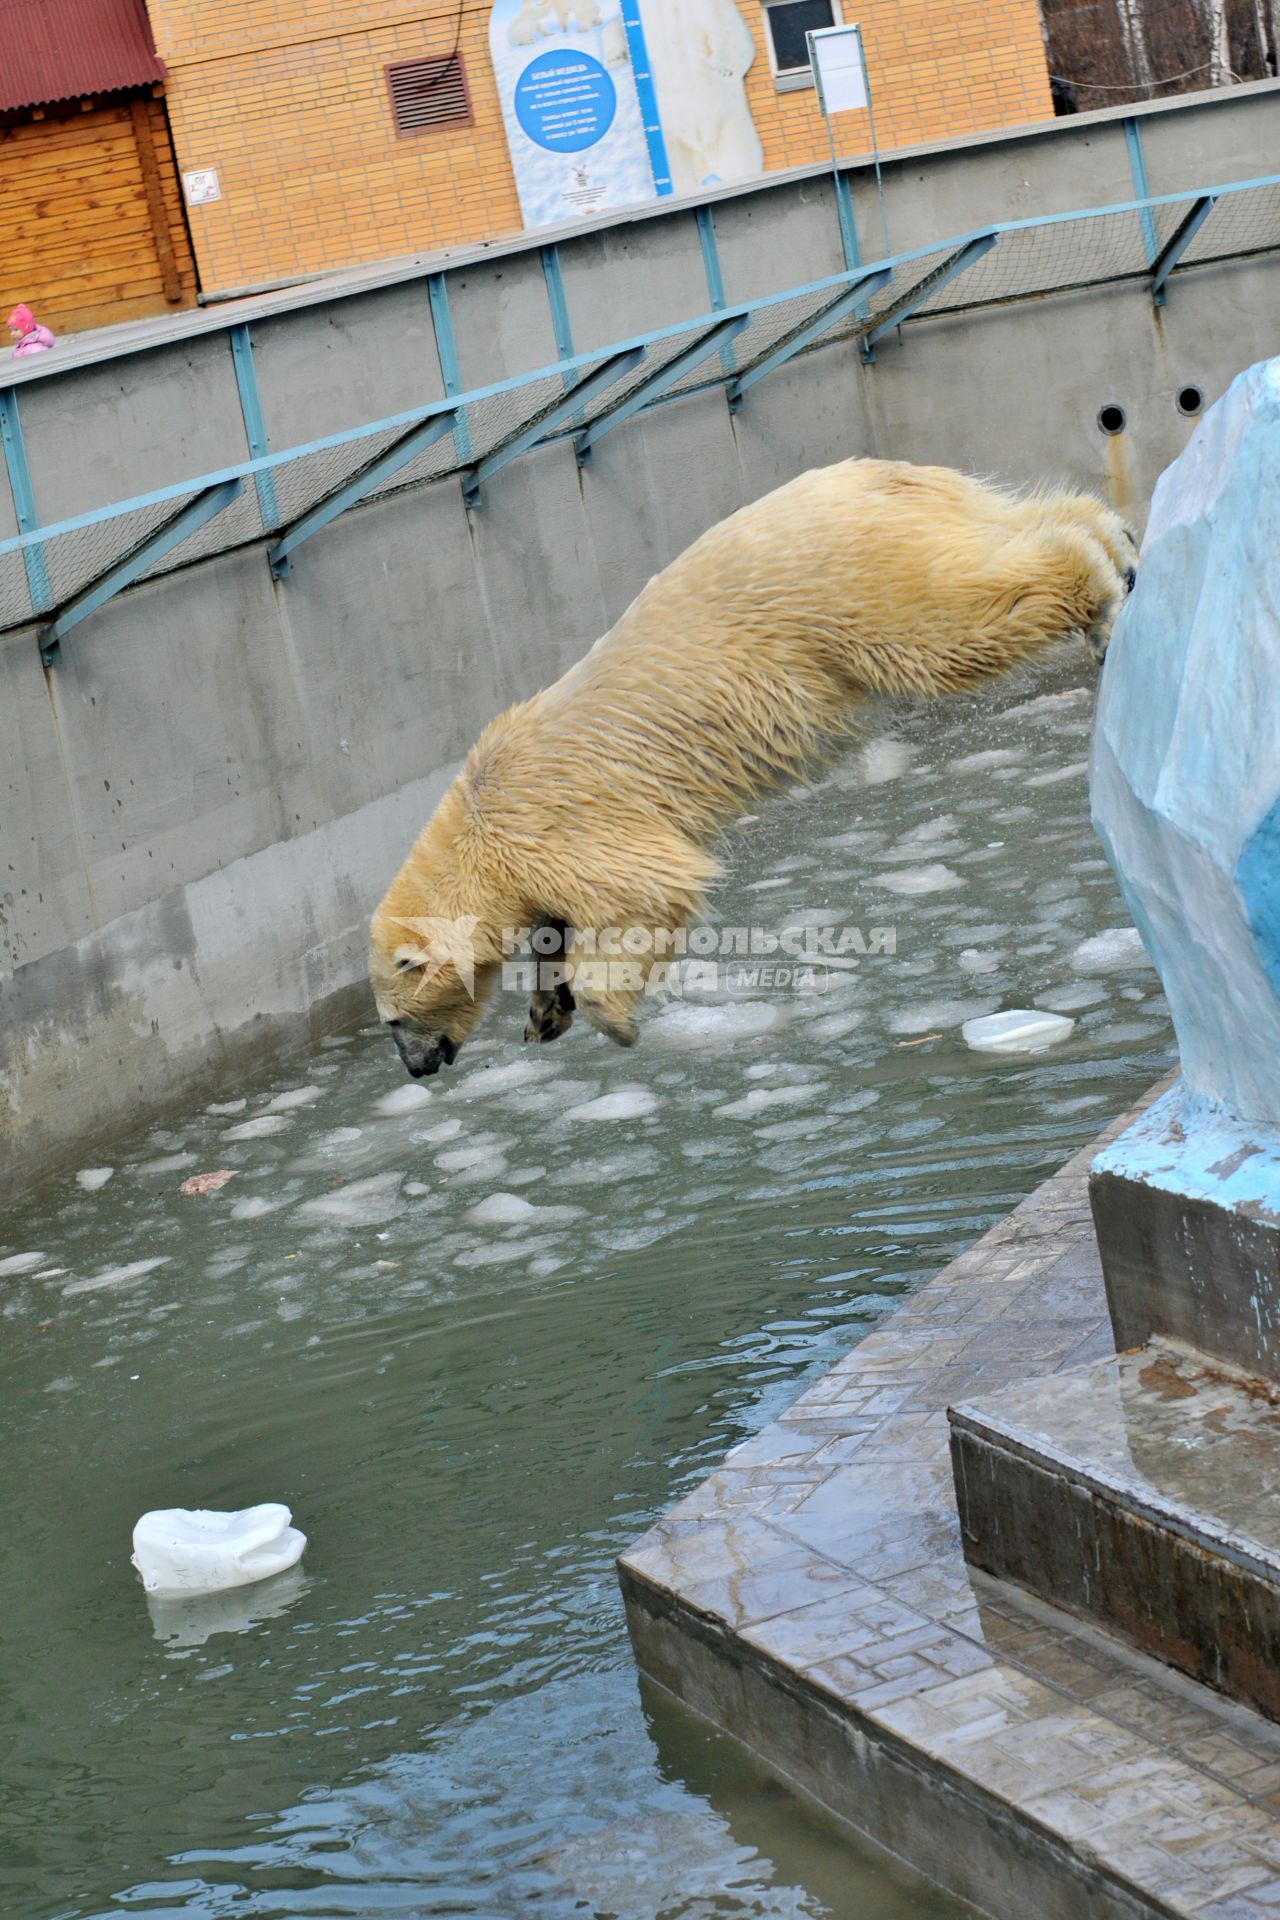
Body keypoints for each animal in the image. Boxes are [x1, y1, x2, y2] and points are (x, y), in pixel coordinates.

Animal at [376, 456, 1136, 1075]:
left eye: (392, 1019)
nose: (416, 1068)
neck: (474, 822)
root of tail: (883, 472)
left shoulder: (555, 831)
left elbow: (644, 893)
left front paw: (610, 1020)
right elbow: (556, 926)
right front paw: (544, 1010)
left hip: (846, 592)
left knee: (954, 619)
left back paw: (1099, 588)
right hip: (917, 527)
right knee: (1004, 531)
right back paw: (1116, 540)